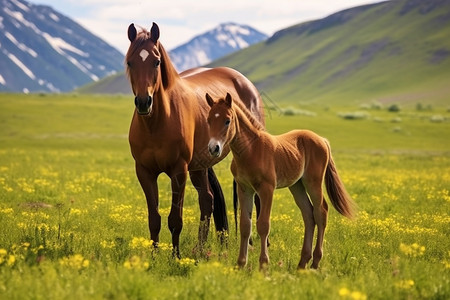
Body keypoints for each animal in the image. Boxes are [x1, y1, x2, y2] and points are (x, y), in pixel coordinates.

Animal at [125, 22, 266, 258]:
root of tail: (245, 82)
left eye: (157, 61)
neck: (157, 123)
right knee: (207, 199)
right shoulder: (145, 172)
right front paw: (154, 256)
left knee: (256, 198)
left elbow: (175, 219)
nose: (144, 102)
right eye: (129, 61)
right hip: (200, 165)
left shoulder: (178, 171)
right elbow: (154, 219)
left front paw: (175, 256)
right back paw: (200, 248)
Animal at [205, 93, 356, 270]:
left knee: (321, 211)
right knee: (308, 214)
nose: (213, 148)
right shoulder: (244, 189)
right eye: (208, 120)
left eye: (227, 120)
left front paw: (263, 265)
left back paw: (315, 262)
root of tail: (321, 140)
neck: (251, 150)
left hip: (313, 182)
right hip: (296, 186)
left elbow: (263, 225)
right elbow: (245, 225)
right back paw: (302, 263)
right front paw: (241, 264)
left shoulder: (267, 189)